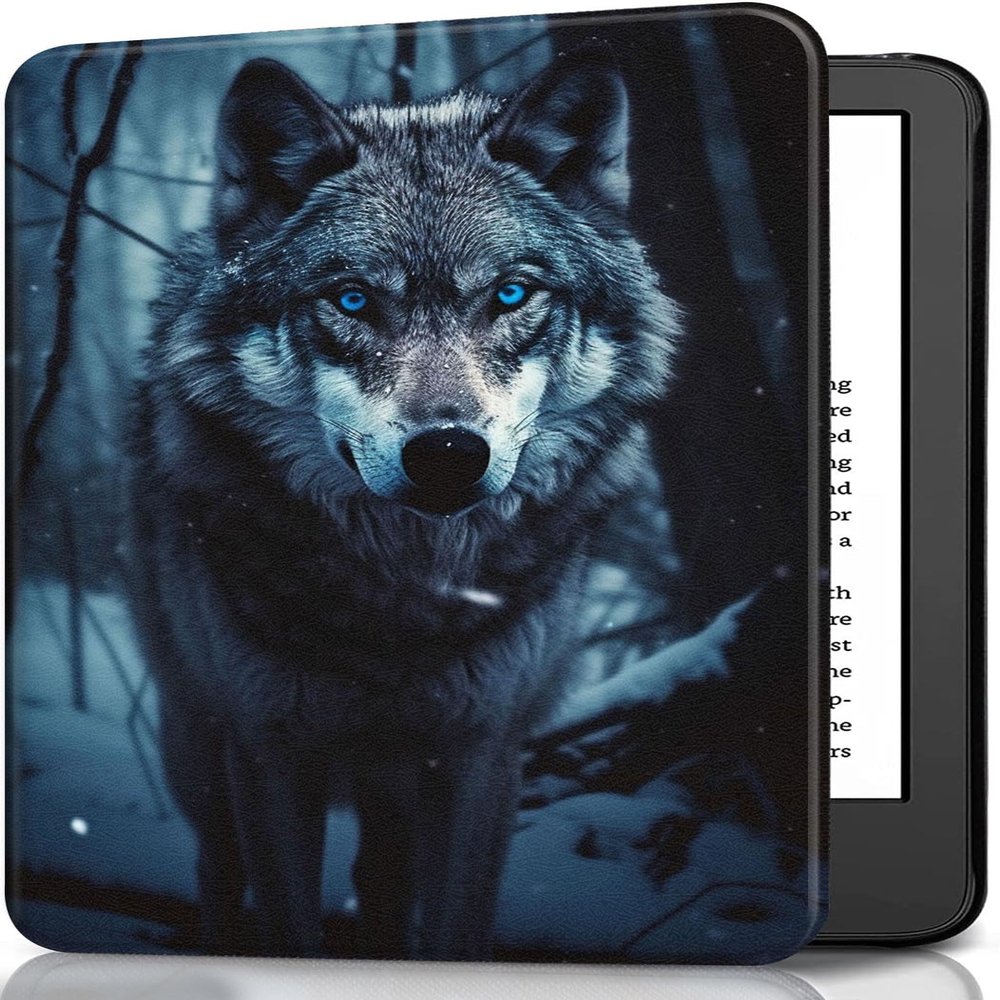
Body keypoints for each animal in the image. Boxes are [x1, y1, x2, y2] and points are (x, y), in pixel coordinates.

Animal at [128, 45, 681, 959]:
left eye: (510, 295)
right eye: (352, 299)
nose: (450, 453)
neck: (405, 597)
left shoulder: (481, 756)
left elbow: (456, 928)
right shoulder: (271, 754)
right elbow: (288, 926)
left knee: (381, 883)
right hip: (196, 745)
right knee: (218, 868)